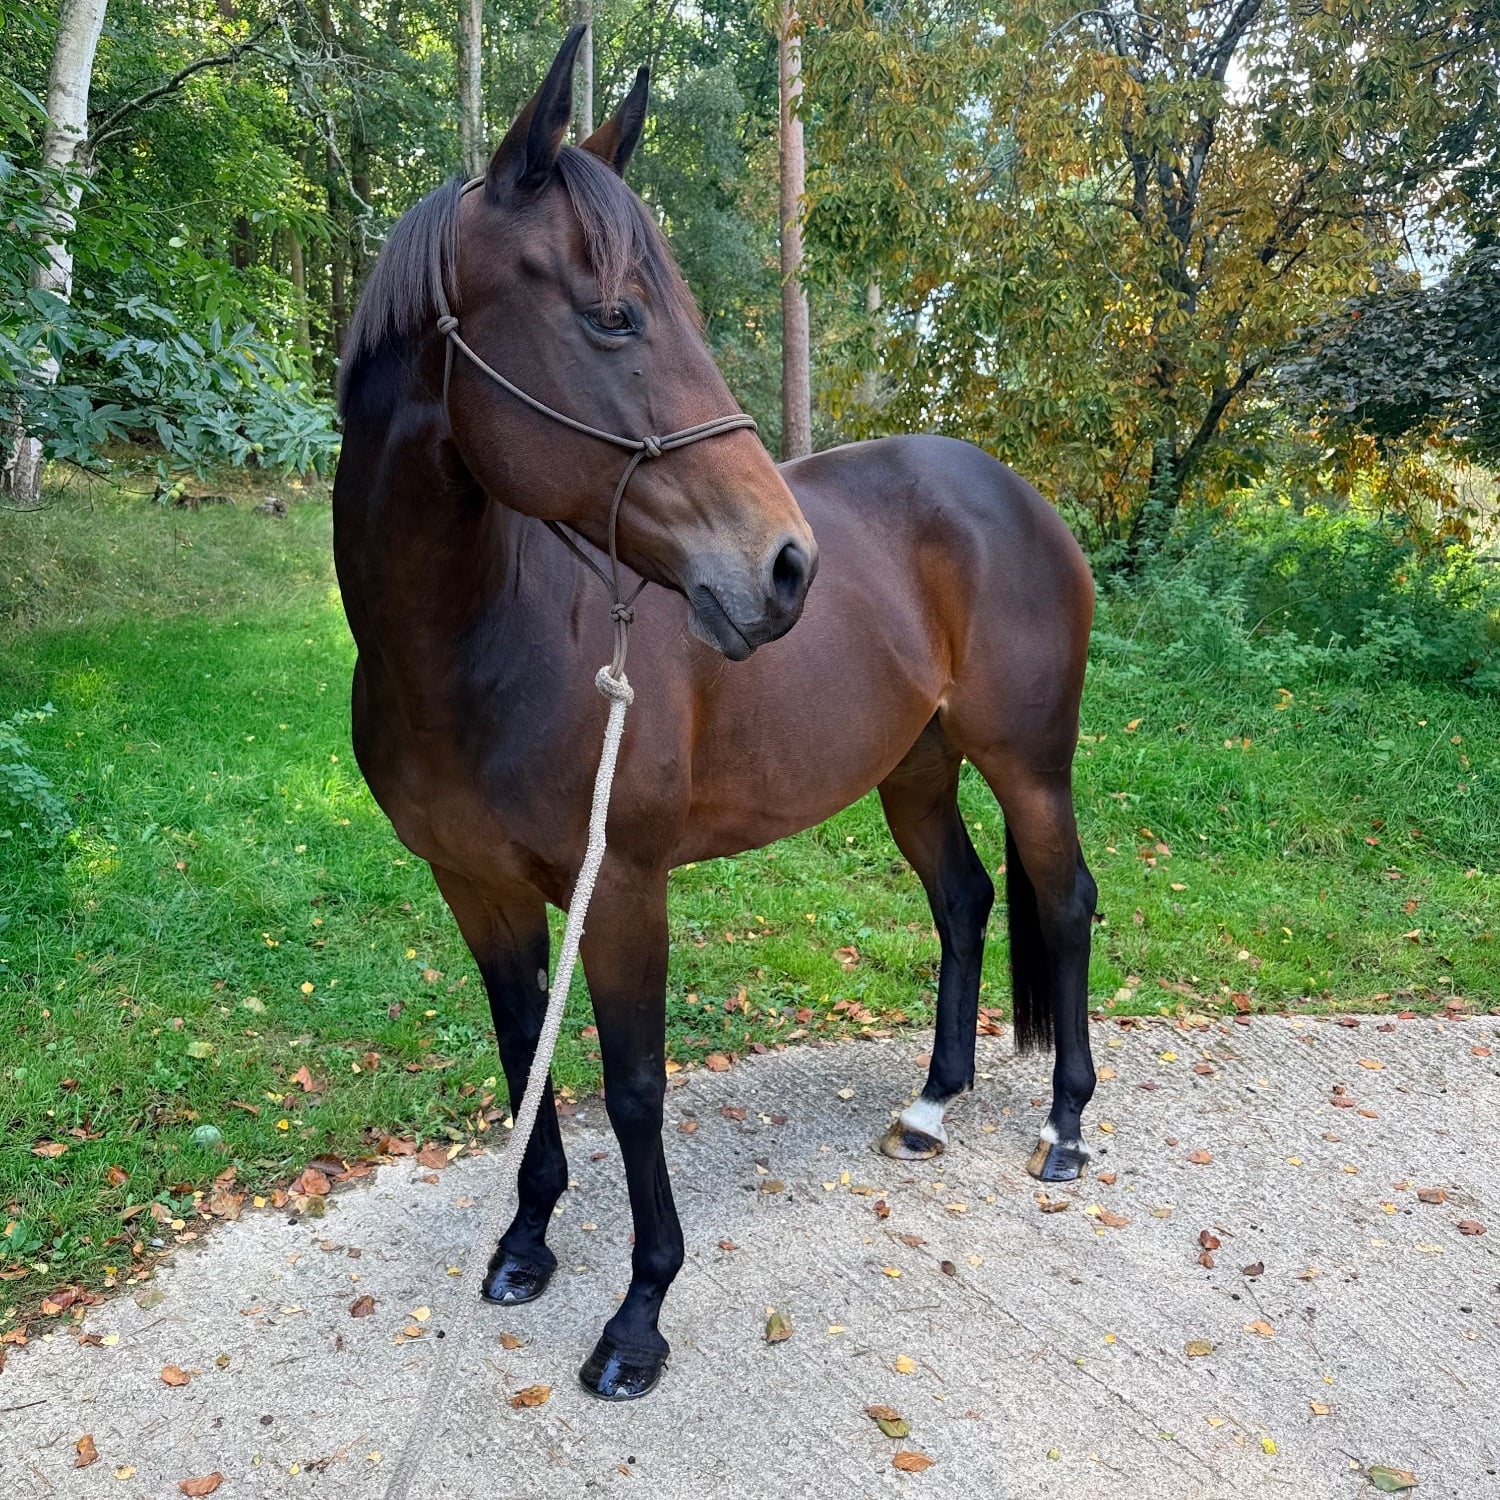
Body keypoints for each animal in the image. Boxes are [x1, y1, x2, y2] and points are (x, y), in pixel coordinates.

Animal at [332, 27, 1098, 1401]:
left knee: (1063, 904)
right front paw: (525, 1245)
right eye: (613, 315)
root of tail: (1014, 493)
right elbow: (523, 1057)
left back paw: (1065, 1127)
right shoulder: (476, 887)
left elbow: (635, 1086)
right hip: (913, 768)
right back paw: (930, 1107)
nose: (786, 569)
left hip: (1029, 767)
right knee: (965, 901)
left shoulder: (623, 887)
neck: (477, 647)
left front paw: (639, 1314)